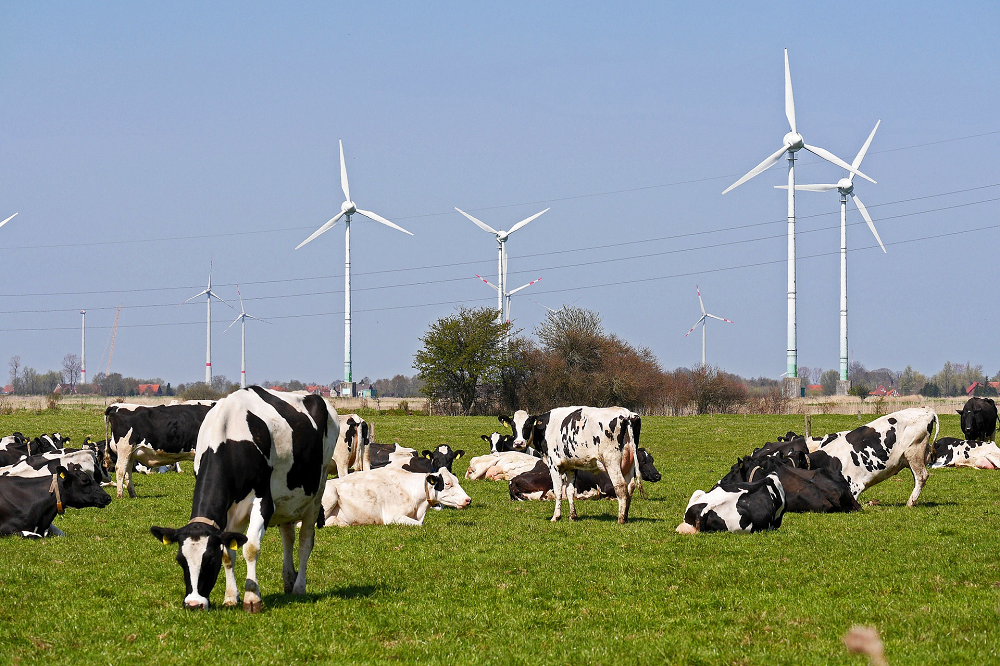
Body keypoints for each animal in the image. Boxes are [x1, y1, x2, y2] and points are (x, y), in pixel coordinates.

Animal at [148, 384, 336, 612]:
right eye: (180, 560)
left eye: (209, 560)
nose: (194, 604)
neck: (228, 437)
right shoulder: (229, 510)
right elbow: (229, 552)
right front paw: (230, 597)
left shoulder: (264, 502)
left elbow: (251, 548)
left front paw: (252, 598)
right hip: (286, 500)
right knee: (288, 538)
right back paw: (289, 580)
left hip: (316, 492)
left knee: (305, 541)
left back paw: (299, 587)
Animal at [324, 464, 472, 528]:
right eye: (447, 483)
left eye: (457, 481)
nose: (468, 500)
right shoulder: (392, 517)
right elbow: (420, 524)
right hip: (330, 495)